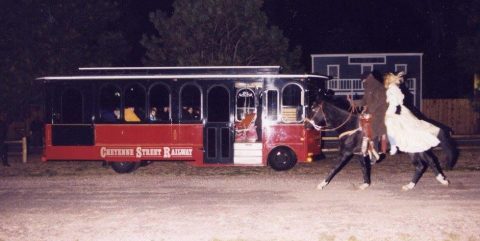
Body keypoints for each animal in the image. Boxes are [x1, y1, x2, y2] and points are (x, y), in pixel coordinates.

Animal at [308, 99, 458, 191]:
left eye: (314, 110)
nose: (306, 124)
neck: (351, 126)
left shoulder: (346, 153)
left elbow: (334, 168)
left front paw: (321, 184)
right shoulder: (360, 153)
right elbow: (364, 168)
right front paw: (365, 184)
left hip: (413, 150)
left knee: (423, 164)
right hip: (417, 149)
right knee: (428, 163)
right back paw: (433, 181)